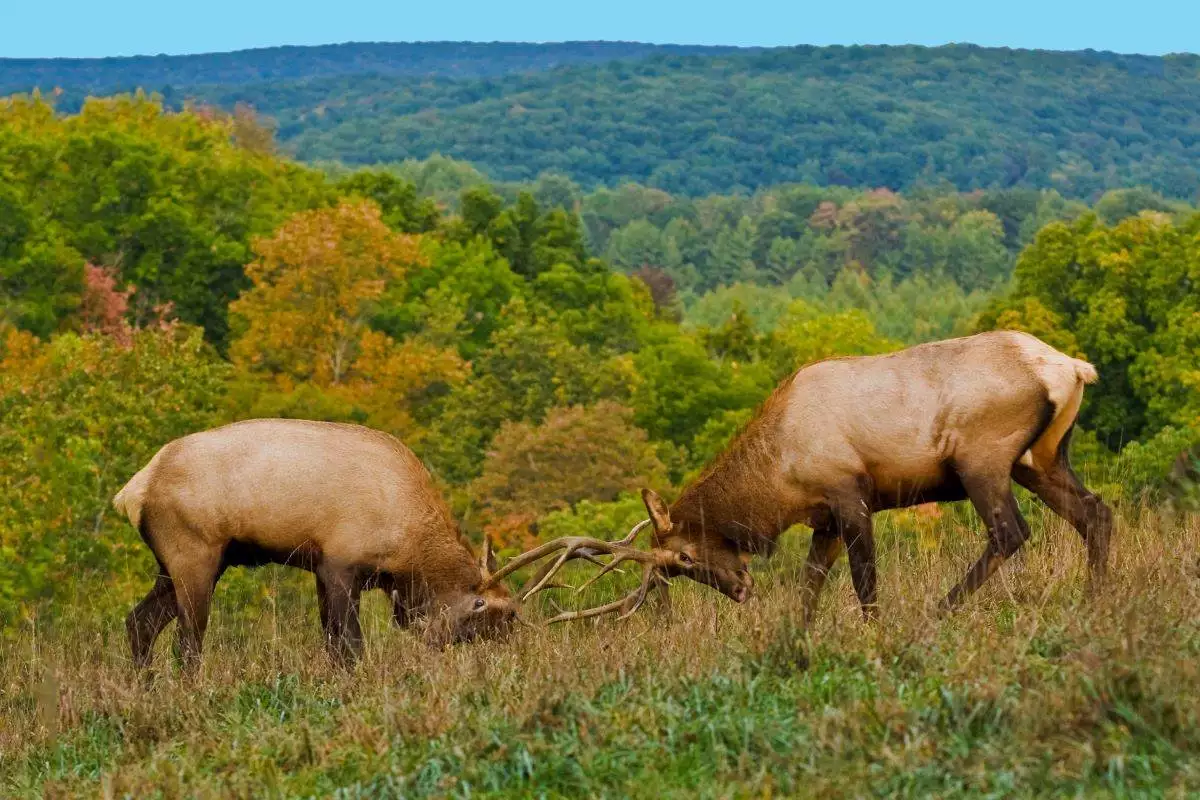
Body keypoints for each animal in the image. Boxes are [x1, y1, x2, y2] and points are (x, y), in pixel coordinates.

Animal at [112, 419, 519, 671]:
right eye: (483, 606)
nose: (508, 644)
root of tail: (133, 492)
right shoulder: (340, 566)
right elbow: (351, 646)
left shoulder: (322, 571)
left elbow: (333, 645)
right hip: (195, 557)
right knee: (187, 643)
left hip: (180, 566)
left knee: (139, 622)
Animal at [489, 330, 1113, 627]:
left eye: (683, 559)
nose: (738, 590)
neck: (778, 478)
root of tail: (1072, 368)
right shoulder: (824, 519)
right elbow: (810, 585)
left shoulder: (849, 493)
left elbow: (864, 581)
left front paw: (874, 629)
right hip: (1040, 459)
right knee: (1096, 512)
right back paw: (1092, 600)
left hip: (982, 460)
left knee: (1011, 533)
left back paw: (941, 608)